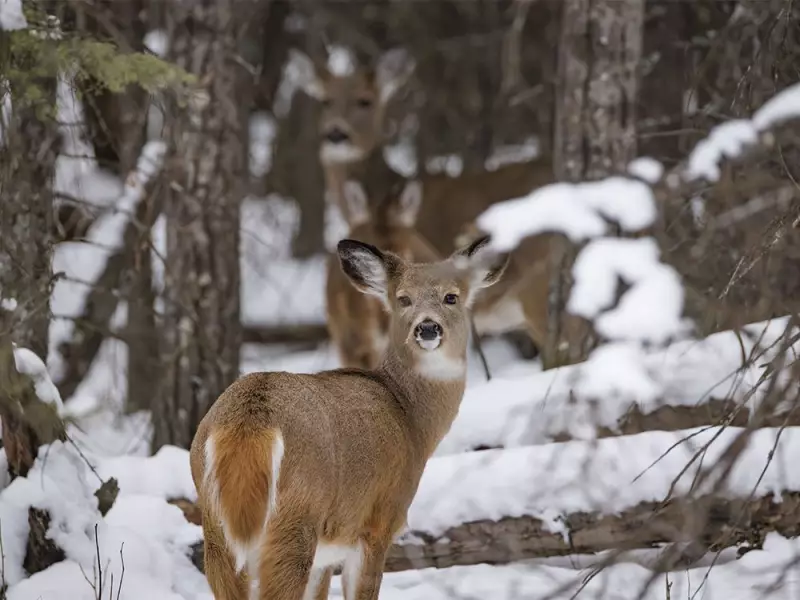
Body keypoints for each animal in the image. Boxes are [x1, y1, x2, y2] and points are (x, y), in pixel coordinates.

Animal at [190, 234, 508, 600]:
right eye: (403, 299)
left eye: (451, 296)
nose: (427, 327)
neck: (410, 418)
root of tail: (249, 421)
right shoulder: (377, 521)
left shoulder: (327, 554)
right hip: (295, 517)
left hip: (215, 528)